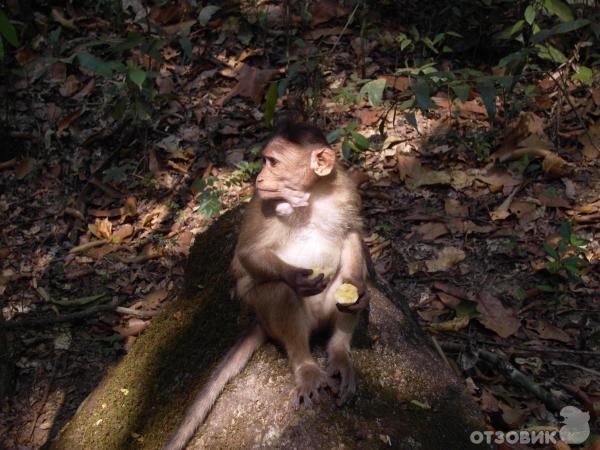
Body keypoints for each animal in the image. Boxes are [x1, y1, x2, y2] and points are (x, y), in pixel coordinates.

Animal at [165, 122, 370, 450]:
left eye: (272, 162)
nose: (259, 178)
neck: (313, 194)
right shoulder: (266, 205)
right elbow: (248, 256)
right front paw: (295, 276)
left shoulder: (346, 191)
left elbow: (352, 232)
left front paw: (359, 292)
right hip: (269, 315)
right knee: (278, 293)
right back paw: (305, 367)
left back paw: (339, 351)